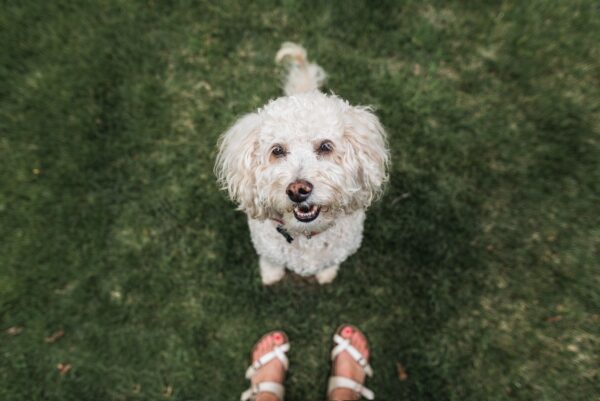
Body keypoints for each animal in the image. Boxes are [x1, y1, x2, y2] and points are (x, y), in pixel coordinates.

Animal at [216, 42, 390, 282]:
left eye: (326, 146)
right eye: (277, 150)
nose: (298, 190)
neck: (306, 235)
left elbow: (330, 263)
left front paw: (327, 274)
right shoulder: (267, 249)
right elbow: (271, 261)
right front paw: (271, 275)